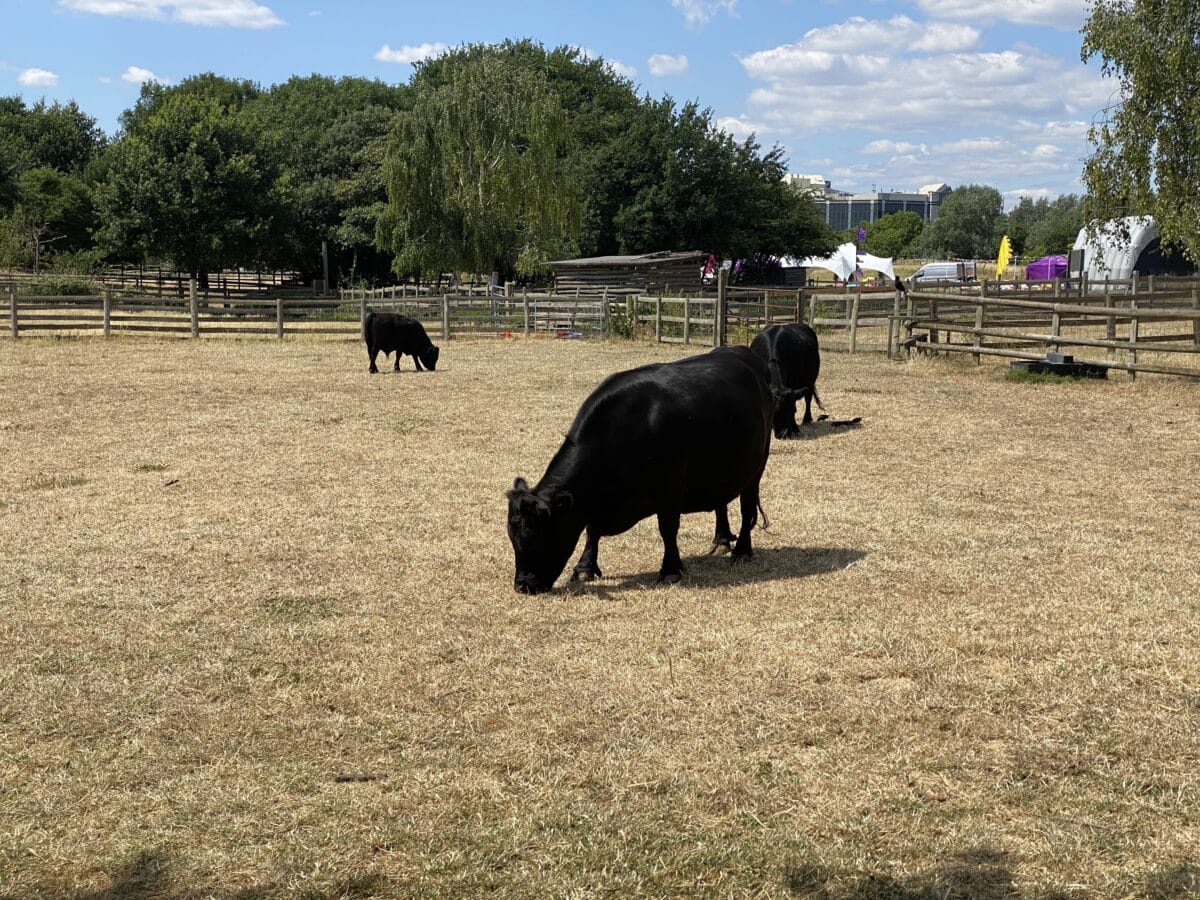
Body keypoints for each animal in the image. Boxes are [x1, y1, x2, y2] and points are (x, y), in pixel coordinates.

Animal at [504, 348, 768, 595]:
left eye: (537, 537)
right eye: (512, 538)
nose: (523, 586)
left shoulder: (670, 490)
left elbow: (668, 529)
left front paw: (671, 570)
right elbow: (592, 530)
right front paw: (585, 567)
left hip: (756, 468)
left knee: (747, 510)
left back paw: (742, 551)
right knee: (721, 503)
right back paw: (721, 541)